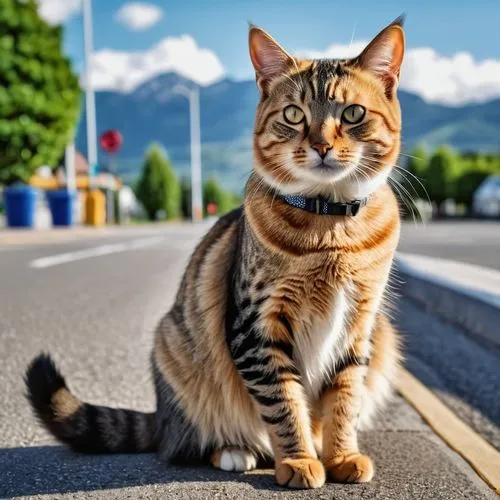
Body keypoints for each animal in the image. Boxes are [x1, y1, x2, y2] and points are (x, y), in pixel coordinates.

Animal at [25, 15, 404, 488]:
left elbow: (344, 399)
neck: (330, 228)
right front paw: (299, 460)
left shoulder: (360, 324)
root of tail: (162, 418)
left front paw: (340, 455)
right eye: (294, 115)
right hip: (176, 346)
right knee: (192, 441)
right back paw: (236, 451)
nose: (320, 147)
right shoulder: (256, 325)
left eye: (352, 114)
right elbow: (284, 402)